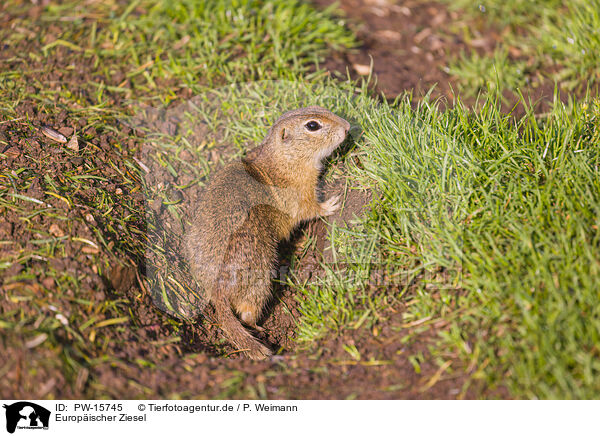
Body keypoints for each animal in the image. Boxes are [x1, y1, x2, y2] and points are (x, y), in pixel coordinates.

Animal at [185, 105, 350, 358]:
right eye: (312, 125)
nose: (348, 127)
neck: (282, 158)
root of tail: (216, 292)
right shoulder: (299, 192)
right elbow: (308, 208)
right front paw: (331, 204)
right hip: (260, 277)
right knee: (247, 313)